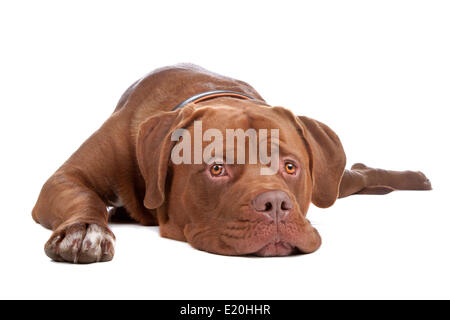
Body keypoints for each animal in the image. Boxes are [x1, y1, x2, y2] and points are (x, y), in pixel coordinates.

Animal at [32, 63, 432, 264]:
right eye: (217, 169)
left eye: (290, 167)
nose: (276, 204)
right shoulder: (66, 177)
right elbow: (83, 197)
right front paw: (85, 230)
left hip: (331, 182)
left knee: (357, 174)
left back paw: (412, 178)